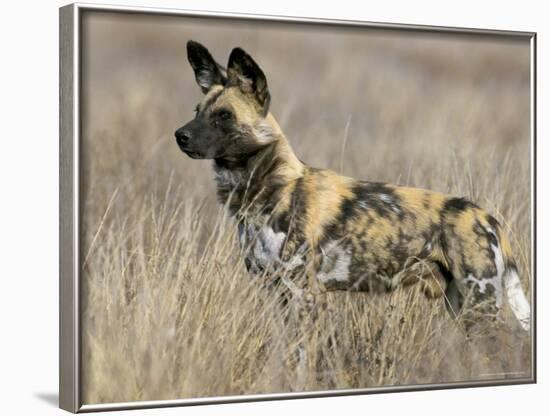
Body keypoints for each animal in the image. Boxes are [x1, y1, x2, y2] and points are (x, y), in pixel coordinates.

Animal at [175, 39, 532, 332]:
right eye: (197, 111)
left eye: (224, 116)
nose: (180, 135)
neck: (267, 189)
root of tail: (485, 217)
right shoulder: (278, 292)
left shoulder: (304, 294)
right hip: (461, 307)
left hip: (480, 308)